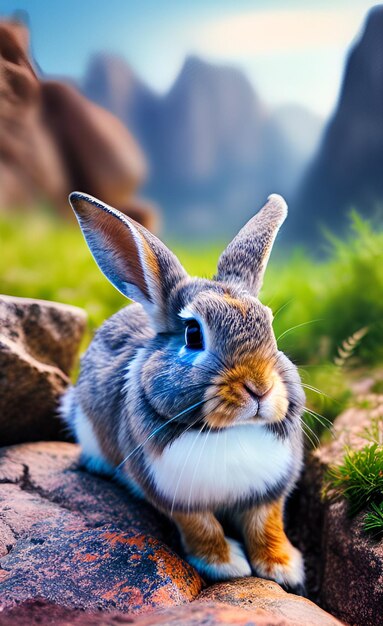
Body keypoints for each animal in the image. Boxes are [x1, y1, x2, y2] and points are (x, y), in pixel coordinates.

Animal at [60, 191, 306, 588]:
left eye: (269, 326)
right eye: (193, 335)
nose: (259, 388)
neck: (230, 432)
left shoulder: (268, 495)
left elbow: (267, 525)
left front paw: (283, 567)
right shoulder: (175, 497)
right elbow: (202, 527)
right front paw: (225, 564)